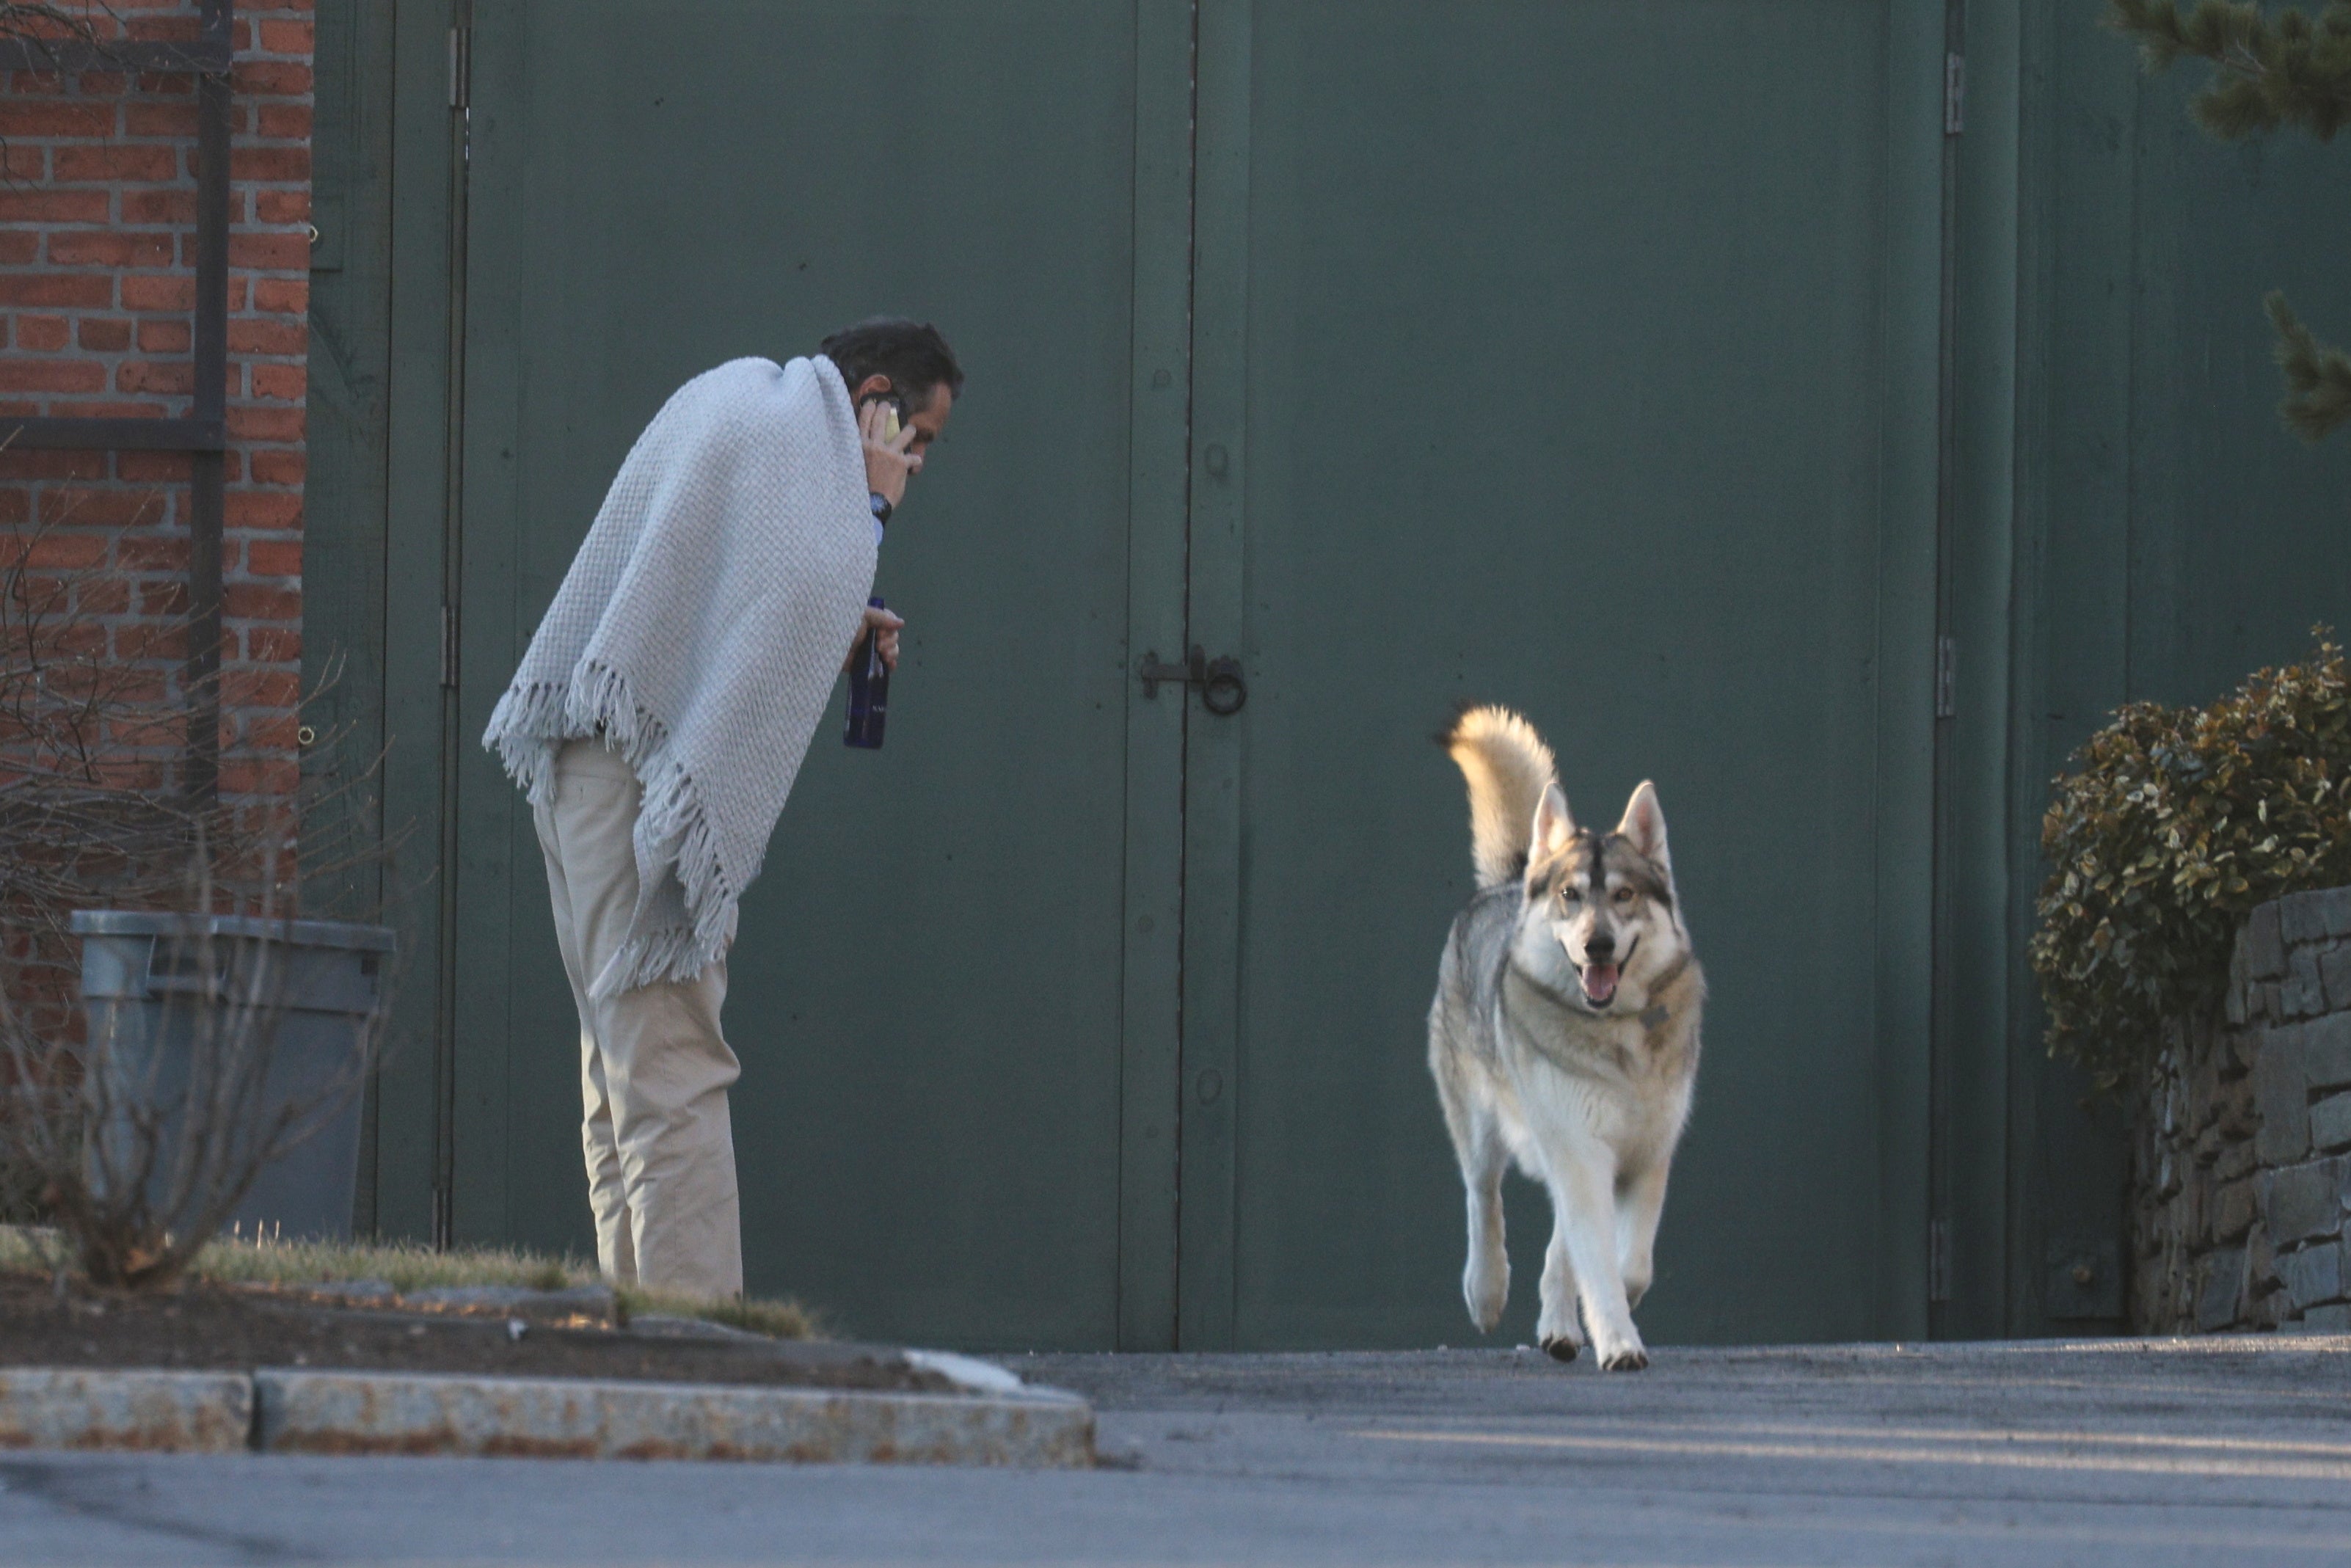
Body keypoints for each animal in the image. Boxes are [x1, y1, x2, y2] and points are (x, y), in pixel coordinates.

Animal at [1420, 705, 1702, 1363]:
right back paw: (1487, 1290)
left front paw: (1592, 1311)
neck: (1615, 1036)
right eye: (1571, 895)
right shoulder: (1578, 1146)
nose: (1598, 944)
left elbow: (1626, 1263)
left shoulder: (1648, 1154)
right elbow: (1595, 1261)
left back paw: (1558, 1324)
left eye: (1623, 894)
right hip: (1480, 1124)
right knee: (1483, 1198)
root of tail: (1509, 880)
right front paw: (1619, 1341)